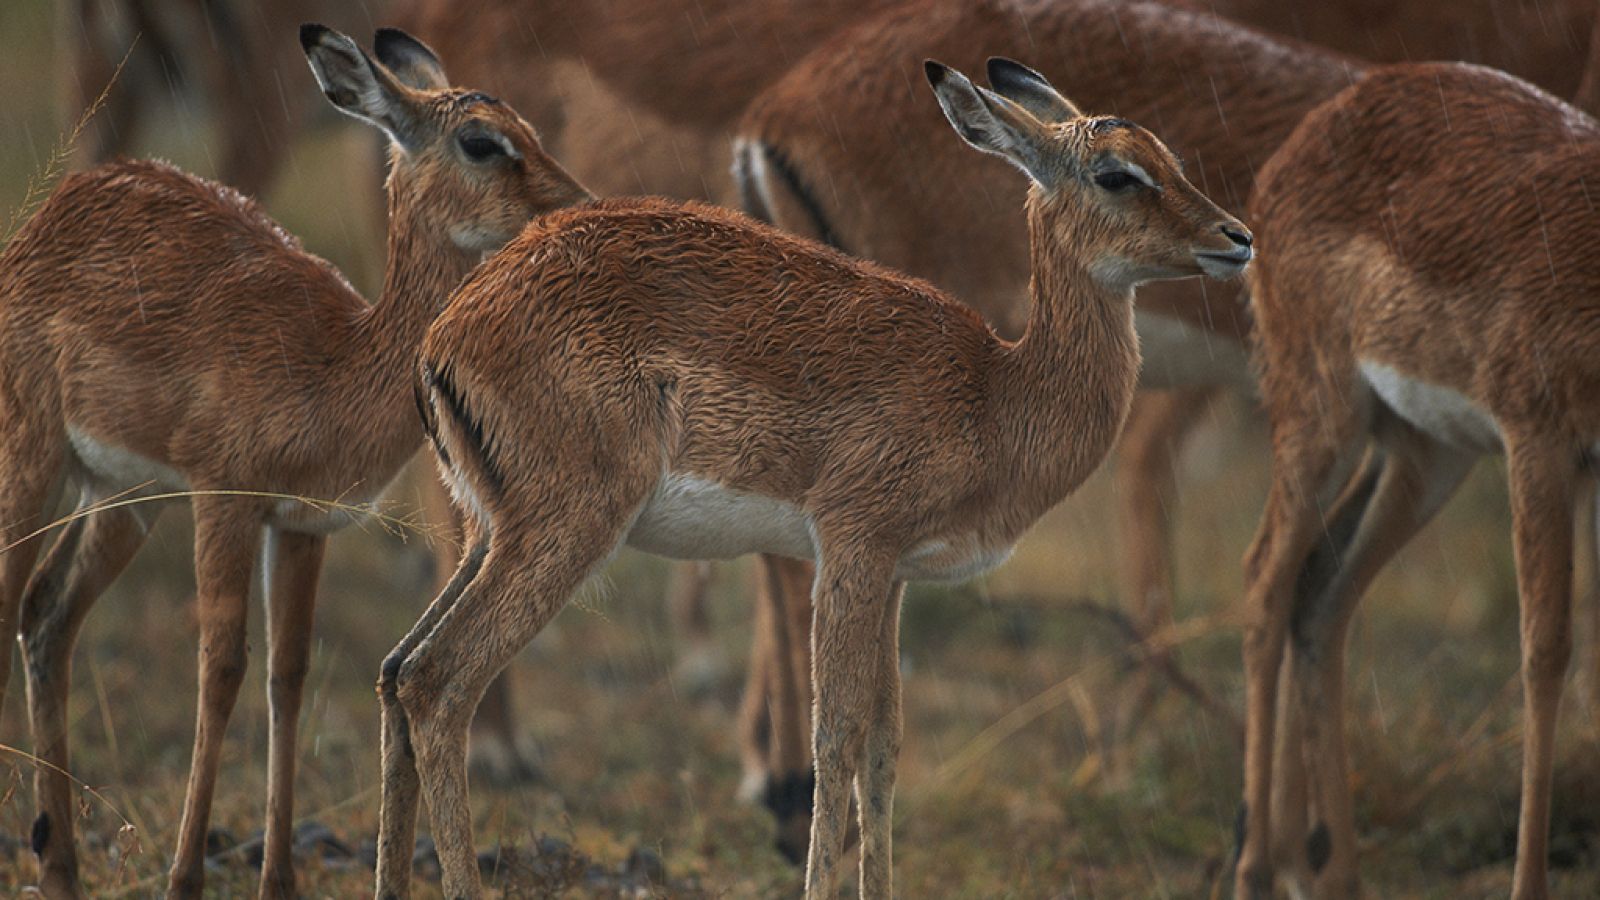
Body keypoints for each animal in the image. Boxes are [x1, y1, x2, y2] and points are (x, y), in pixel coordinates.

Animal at [1, 24, 588, 890]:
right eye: (482, 140)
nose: (575, 203)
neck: (333, 361)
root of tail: (53, 209)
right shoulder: (225, 501)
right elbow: (221, 670)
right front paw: (185, 877)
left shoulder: (302, 525)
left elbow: (289, 677)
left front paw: (277, 877)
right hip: (33, 455)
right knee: (13, 598)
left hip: (120, 495)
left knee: (47, 616)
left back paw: (62, 868)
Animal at [384, 57, 1248, 896]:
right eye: (1117, 173)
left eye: (1166, 153)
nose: (1236, 238)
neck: (997, 392)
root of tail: (445, 331)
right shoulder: (851, 551)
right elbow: (835, 736)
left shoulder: (894, 577)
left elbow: (886, 744)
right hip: (567, 531)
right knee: (438, 682)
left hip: (492, 534)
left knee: (397, 672)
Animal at [1235, 59, 1600, 890]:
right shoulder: (1539, 440)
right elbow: (1545, 650)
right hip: (1321, 415)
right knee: (1264, 579)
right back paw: (1256, 871)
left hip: (1426, 453)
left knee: (1321, 590)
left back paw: (1330, 875)